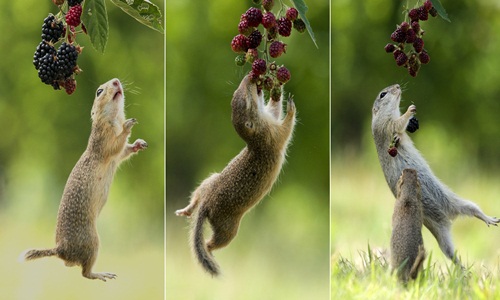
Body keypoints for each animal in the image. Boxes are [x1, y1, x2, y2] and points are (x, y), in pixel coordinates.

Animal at [23, 78, 147, 280]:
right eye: (99, 91)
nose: (116, 80)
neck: (113, 119)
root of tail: (60, 250)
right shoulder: (104, 140)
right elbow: (116, 144)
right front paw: (128, 125)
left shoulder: (117, 155)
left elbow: (124, 151)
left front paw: (139, 143)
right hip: (93, 241)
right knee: (84, 273)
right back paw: (102, 274)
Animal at [175, 75, 294, 276]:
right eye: (246, 102)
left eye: (236, 96)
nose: (250, 77)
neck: (255, 138)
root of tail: (207, 204)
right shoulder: (274, 134)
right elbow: (286, 127)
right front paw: (291, 107)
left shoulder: (270, 119)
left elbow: (274, 109)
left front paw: (277, 89)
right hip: (228, 229)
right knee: (211, 243)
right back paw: (208, 249)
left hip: (208, 181)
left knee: (195, 199)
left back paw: (186, 210)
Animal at [372, 83, 500, 264]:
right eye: (383, 94)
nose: (397, 85)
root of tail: (449, 218)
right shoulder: (387, 125)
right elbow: (398, 123)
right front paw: (409, 111)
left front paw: (412, 122)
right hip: (440, 231)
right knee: (451, 251)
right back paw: (462, 265)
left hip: (459, 203)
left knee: (474, 211)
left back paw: (489, 221)